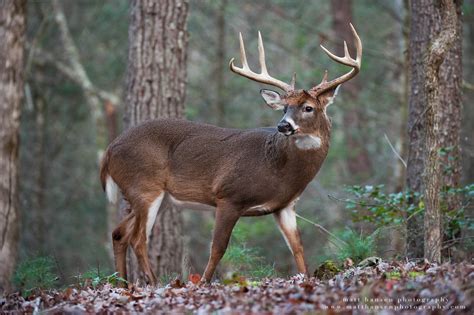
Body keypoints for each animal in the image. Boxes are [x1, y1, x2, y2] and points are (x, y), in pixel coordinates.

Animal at [98, 24, 362, 286]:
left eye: (308, 108)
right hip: (144, 186)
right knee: (138, 239)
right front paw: (203, 283)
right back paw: (152, 283)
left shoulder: (285, 206)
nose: (283, 125)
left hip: (159, 197)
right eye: (285, 108)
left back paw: (122, 283)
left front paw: (306, 279)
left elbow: (298, 249)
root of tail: (109, 151)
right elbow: (218, 247)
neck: (277, 168)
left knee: (119, 233)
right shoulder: (228, 196)